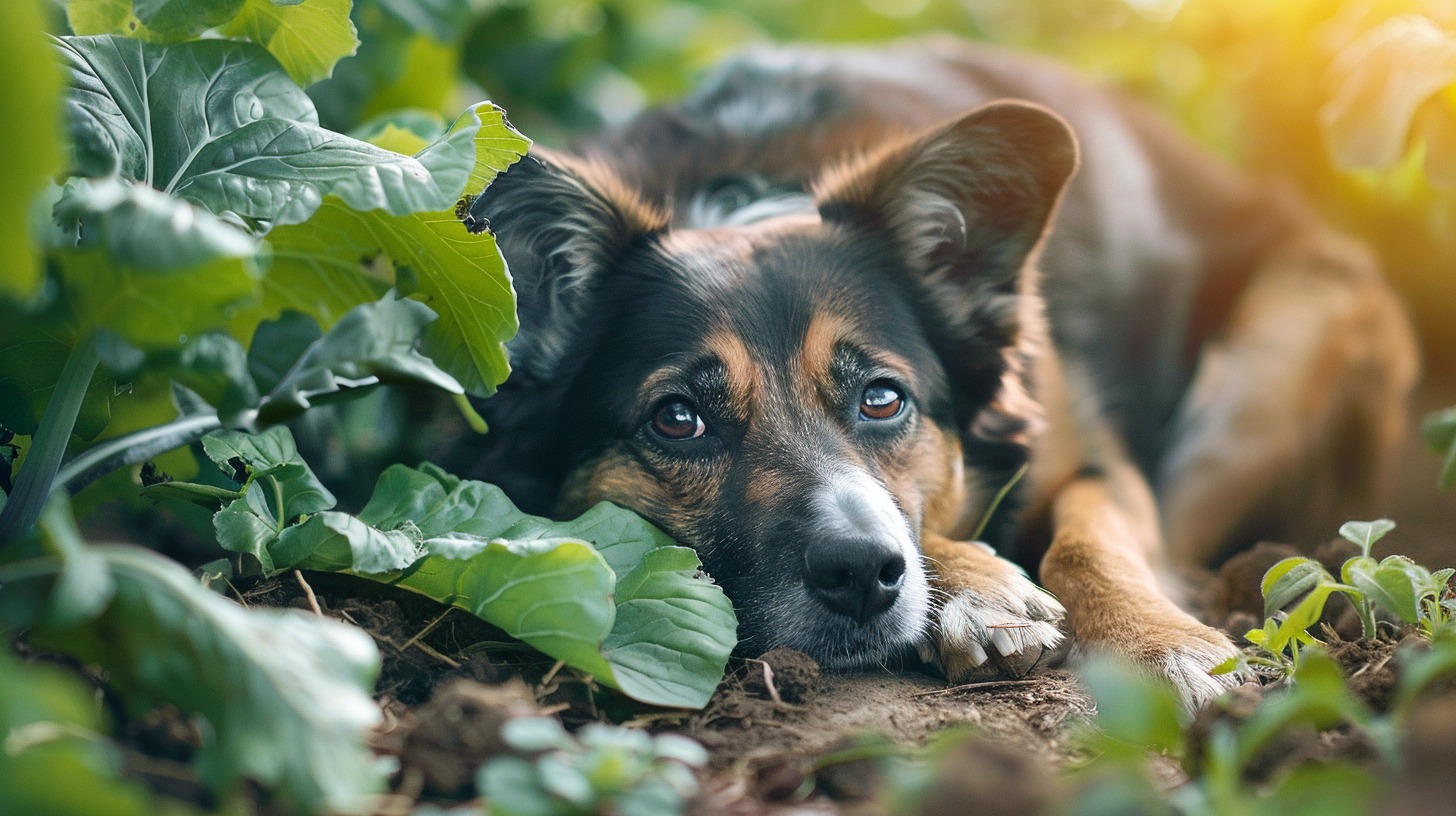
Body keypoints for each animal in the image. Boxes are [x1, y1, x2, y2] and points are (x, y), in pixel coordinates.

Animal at [465, 34, 1421, 705]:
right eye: (677, 419)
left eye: (883, 400)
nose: (860, 576)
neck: (752, 196)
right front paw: (979, 591)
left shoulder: (1090, 452)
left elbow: (1092, 533)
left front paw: (1166, 643)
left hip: (1268, 370)